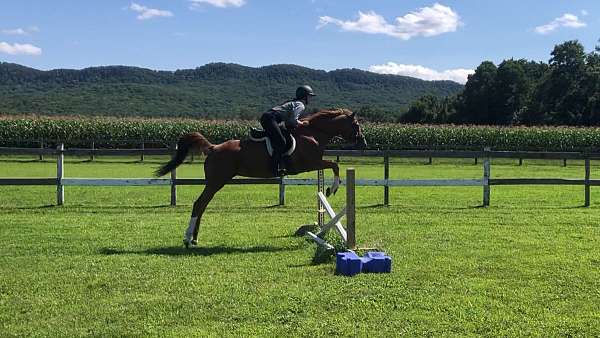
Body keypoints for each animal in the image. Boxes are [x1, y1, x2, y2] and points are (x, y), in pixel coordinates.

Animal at [156, 109, 366, 247]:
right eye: (356, 124)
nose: (363, 143)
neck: (312, 133)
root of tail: (213, 147)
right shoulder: (310, 164)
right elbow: (334, 165)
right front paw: (332, 189)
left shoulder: (314, 163)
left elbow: (333, 165)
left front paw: (331, 188)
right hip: (216, 182)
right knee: (199, 204)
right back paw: (187, 238)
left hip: (215, 183)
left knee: (202, 205)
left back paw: (194, 238)